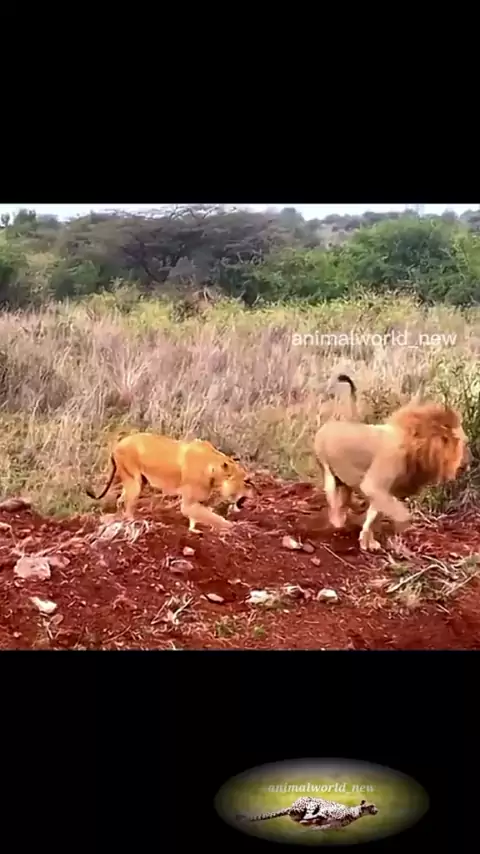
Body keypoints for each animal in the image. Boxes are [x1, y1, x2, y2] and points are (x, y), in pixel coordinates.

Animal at [86, 432, 256, 533]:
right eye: (246, 481)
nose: (255, 492)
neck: (214, 469)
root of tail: (117, 445)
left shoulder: (194, 502)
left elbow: (198, 517)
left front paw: (193, 530)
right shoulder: (188, 503)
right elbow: (211, 516)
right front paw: (232, 527)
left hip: (138, 482)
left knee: (121, 500)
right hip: (134, 482)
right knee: (128, 506)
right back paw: (135, 523)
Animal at [314, 374, 471, 551]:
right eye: (464, 442)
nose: (466, 463)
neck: (416, 446)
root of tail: (331, 421)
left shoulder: (386, 491)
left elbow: (374, 515)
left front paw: (368, 541)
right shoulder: (374, 485)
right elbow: (403, 516)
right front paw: (396, 535)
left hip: (344, 481)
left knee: (345, 498)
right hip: (327, 470)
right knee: (333, 500)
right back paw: (338, 523)